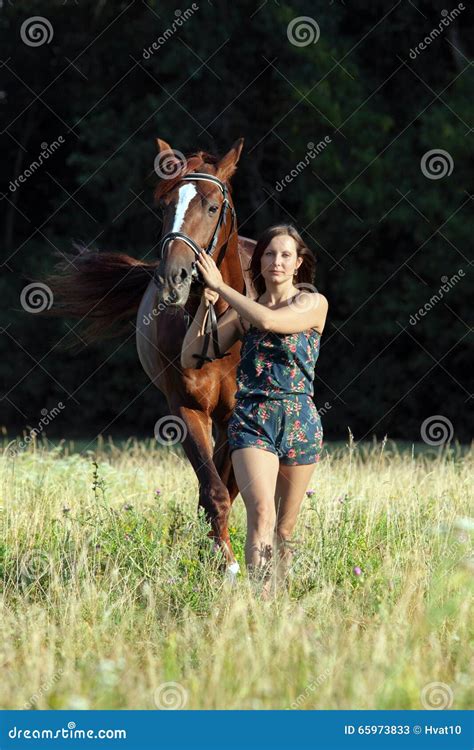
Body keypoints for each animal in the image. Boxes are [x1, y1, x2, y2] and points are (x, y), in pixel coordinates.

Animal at [41, 137, 257, 581]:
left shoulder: (235, 416)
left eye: (213, 207)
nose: (172, 279)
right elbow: (213, 490)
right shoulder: (186, 409)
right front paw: (222, 561)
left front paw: (225, 558)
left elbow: (225, 485)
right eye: (165, 205)